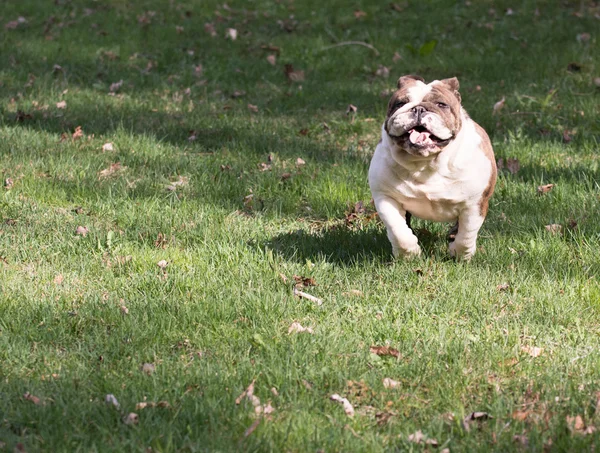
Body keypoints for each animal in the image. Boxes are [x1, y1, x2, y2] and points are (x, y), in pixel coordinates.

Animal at [370, 73, 496, 258]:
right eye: (400, 103)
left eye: (441, 104)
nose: (418, 109)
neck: (425, 164)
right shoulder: (385, 197)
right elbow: (398, 230)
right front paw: (408, 253)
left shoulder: (475, 204)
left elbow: (466, 234)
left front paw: (460, 254)